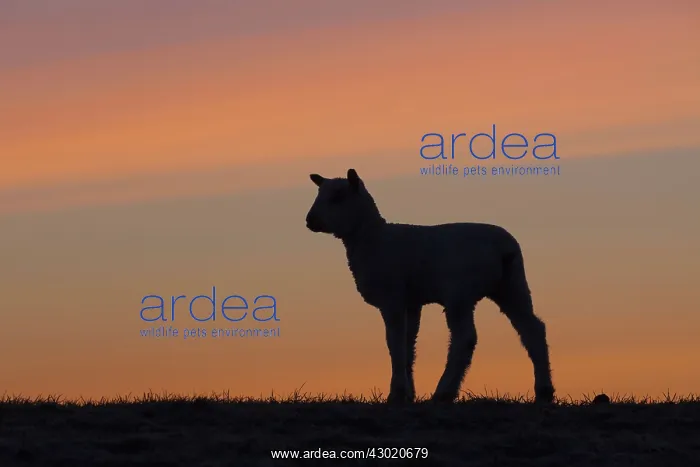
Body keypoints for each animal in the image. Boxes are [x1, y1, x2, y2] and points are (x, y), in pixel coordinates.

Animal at [305, 168, 555, 405]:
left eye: (338, 196)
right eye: (319, 193)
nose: (310, 220)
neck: (371, 237)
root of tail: (504, 249)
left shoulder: (392, 297)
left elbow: (395, 343)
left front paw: (396, 393)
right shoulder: (412, 302)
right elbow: (408, 344)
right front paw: (408, 394)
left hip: (460, 293)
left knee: (465, 338)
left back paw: (443, 393)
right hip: (512, 286)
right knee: (532, 329)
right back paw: (544, 392)